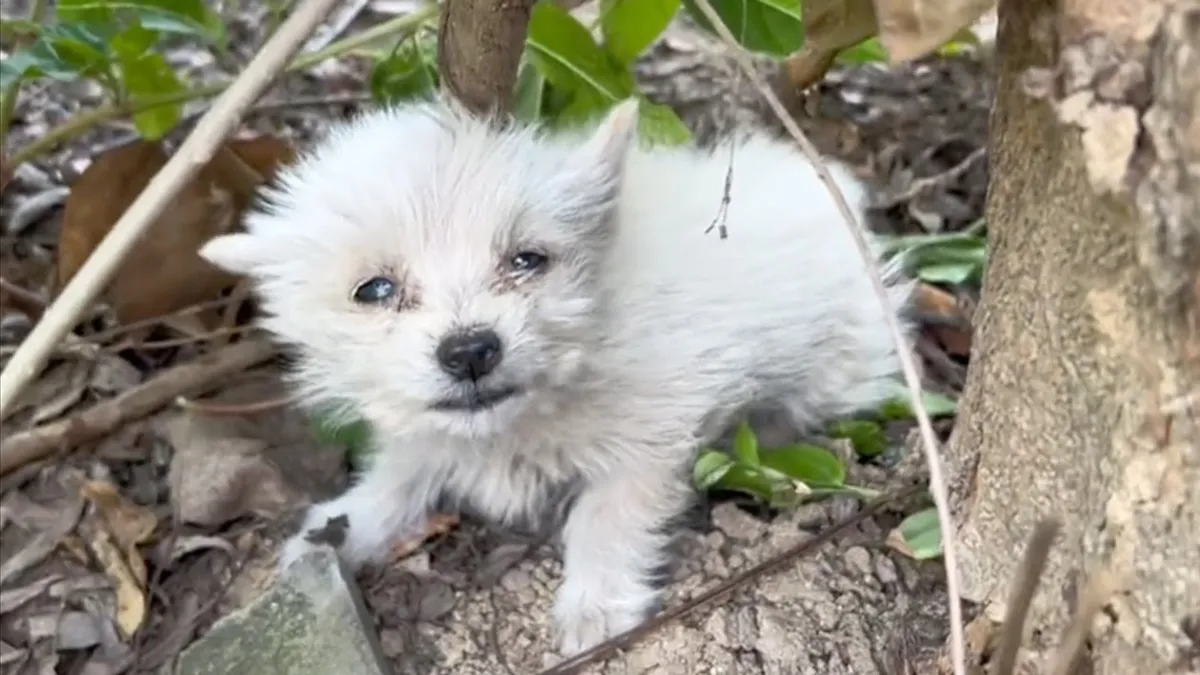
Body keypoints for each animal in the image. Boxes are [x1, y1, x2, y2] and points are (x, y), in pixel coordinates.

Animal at [199, 96, 907, 653]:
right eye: (374, 289)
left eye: (528, 260)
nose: (470, 351)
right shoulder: (428, 432)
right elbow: (400, 475)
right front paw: (340, 529)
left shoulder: (654, 433)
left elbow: (605, 514)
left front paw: (595, 603)